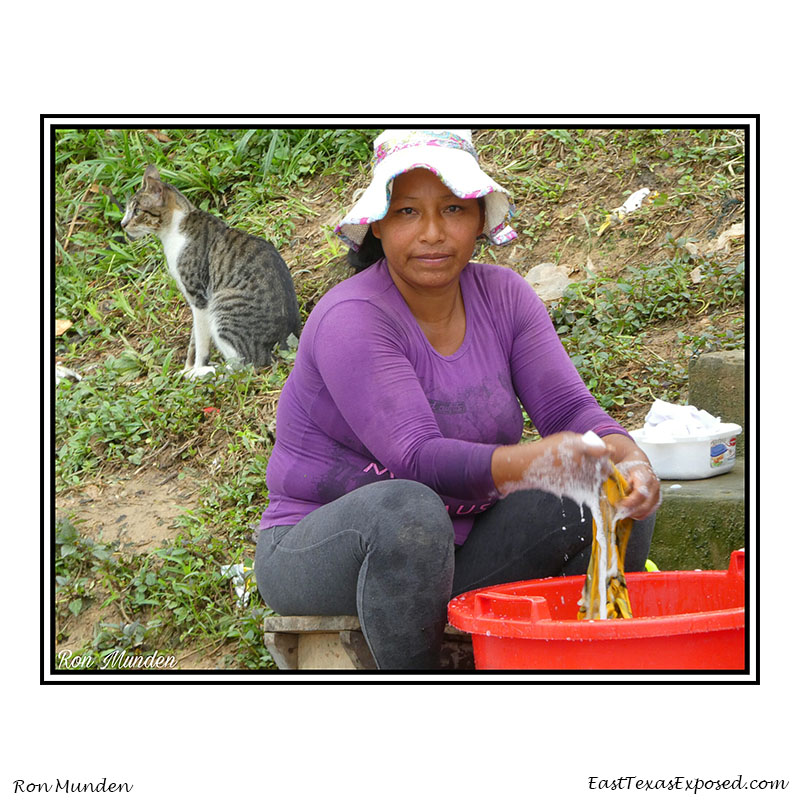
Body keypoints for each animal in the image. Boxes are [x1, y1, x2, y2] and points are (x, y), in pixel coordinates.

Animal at [121, 164, 301, 378]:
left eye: (137, 211)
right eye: (127, 210)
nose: (122, 224)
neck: (173, 230)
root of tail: (287, 343)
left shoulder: (199, 297)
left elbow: (200, 342)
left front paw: (195, 368)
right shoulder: (192, 298)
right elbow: (193, 341)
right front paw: (187, 368)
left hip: (222, 307)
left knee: (245, 365)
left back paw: (205, 372)